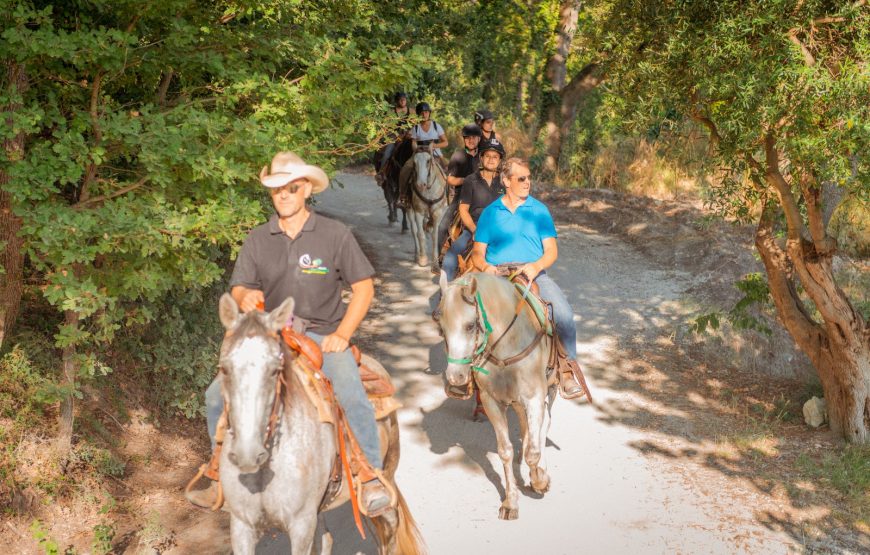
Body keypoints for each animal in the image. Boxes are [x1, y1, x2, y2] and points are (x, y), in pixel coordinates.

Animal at [216, 298, 424, 552]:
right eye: (224, 368)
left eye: (275, 370)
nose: (247, 454)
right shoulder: (242, 526)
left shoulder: (301, 525)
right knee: (327, 539)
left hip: (389, 468)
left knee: (390, 526)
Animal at [440, 274, 556, 520]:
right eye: (441, 328)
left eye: (470, 325)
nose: (455, 378)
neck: (507, 344)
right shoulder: (491, 402)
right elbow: (505, 451)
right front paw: (511, 502)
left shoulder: (534, 395)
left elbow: (533, 452)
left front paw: (540, 481)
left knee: (543, 427)